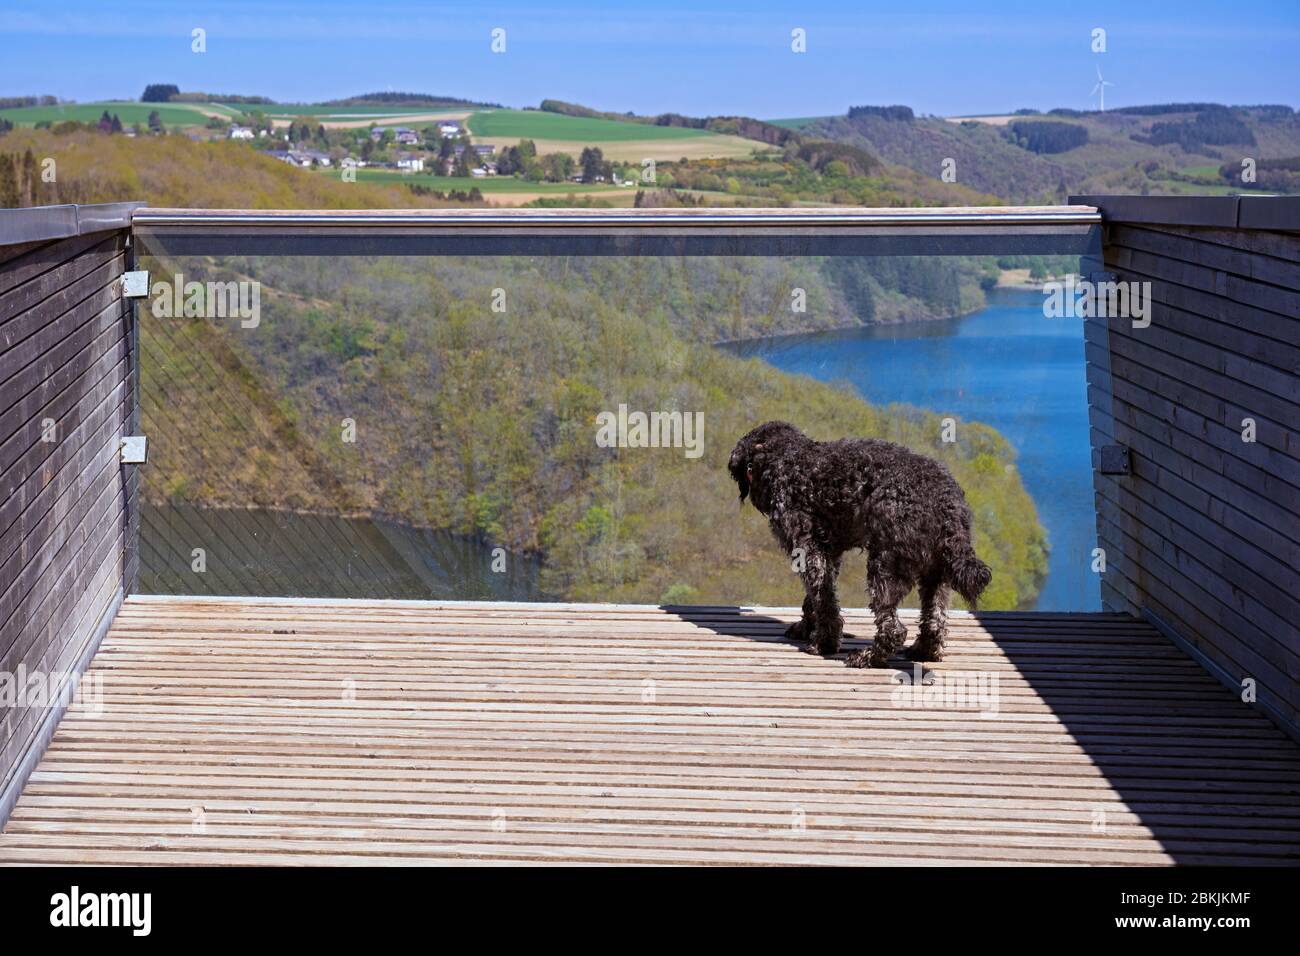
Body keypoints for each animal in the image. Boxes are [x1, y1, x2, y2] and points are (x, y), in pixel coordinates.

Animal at [728, 421, 987, 671]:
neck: (788, 459)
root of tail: (948, 503)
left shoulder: (809, 551)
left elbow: (823, 600)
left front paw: (824, 643)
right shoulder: (830, 554)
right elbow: (816, 598)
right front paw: (807, 627)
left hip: (885, 567)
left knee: (894, 629)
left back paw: (868, 658)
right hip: (935, 574)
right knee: (935, 621)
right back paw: (923, 651)